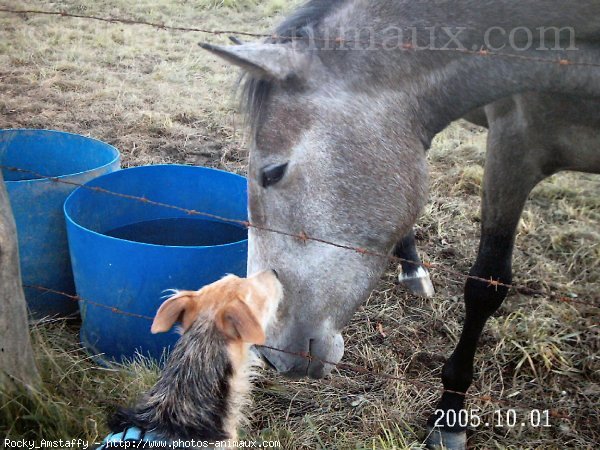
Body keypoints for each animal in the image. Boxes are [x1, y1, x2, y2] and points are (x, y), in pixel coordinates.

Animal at [203, 1, 600, 448]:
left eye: (272, 173)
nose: (269, 354)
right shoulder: (512, 144)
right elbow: (486, 285)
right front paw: (450, 417)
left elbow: (487, 286)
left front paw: (450, 415)